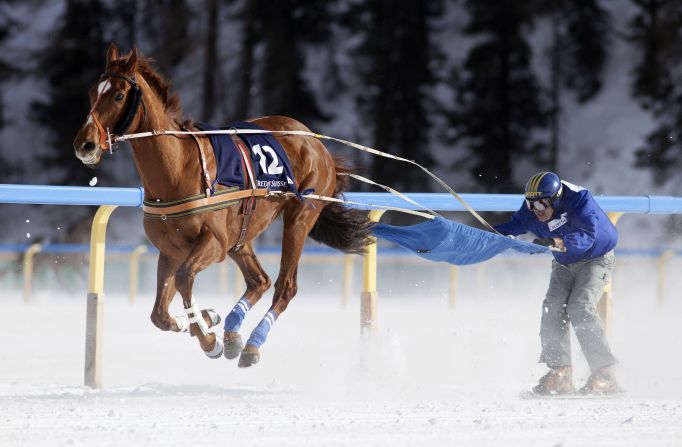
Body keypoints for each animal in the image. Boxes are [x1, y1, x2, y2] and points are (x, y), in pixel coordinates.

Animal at [72, 44, 374, 368]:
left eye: (118, 95)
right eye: (92, 92)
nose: (85, 144)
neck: (178, 169)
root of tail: (316, 143)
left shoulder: (213, 242)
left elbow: (185, 279)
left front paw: (207, 336)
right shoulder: (172, 250)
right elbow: (160, 314)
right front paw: (206, 320)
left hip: (299, 218)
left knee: (285, 286)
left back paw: (252, 343)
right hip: (242, 235)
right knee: (259, 280)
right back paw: (231, 331)